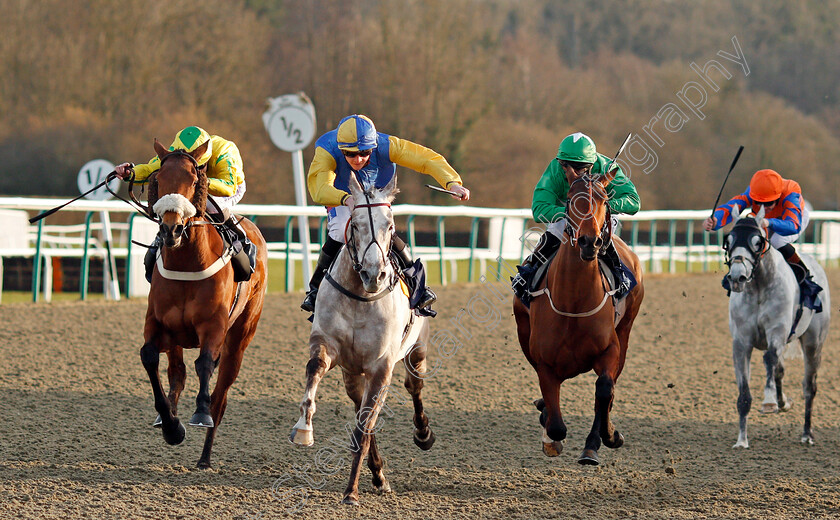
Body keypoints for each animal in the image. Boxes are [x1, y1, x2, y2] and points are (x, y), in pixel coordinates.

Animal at [139, 137, 266, 468]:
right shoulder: (158, 323)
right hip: (177, 337)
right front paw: (171, 426)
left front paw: (199, 413)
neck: (188, 262)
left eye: (194, 180)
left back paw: (205, 457)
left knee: (220, 396)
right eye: (158, 178)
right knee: (177, 373)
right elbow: (149, 357)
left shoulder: (214, 326)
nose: (170, 229)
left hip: (240, 338)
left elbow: (205, 363)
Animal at [288, 174, 434, 504]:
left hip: (416, 349)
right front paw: (304, 427)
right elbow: (314, 370)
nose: (373, 275)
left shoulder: (381, 367)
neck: (360, 296)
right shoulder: (328, 347)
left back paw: (422, 434)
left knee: (414, 385)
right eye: (354, 225)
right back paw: (378, 473)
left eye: (390, 226)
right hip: (353, 373)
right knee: (361, 408)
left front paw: (351, 491)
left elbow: (364, 427)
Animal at [512, 172, 644, 468]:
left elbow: (604, 390)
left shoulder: (610, 349)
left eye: (604, 199)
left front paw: (604, 439)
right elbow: (556, 425)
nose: (589, 242)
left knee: (608, 390)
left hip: (627, 329)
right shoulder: (544, 361)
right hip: (523, 331)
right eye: (572, 198)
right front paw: (550, 436)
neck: (573, 303)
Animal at [720, 210, 832, 446]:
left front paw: (769, 401)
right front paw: (741, 440)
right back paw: (783, 403)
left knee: (809, 386)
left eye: (757, 242)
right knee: (781, 370)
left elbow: (770, 358)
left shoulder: (777, 333)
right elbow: (744, 395)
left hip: (814, 342)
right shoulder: (741, 342)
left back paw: (807, 434)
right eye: (729, 241)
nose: (737, 277)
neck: (758, 287)